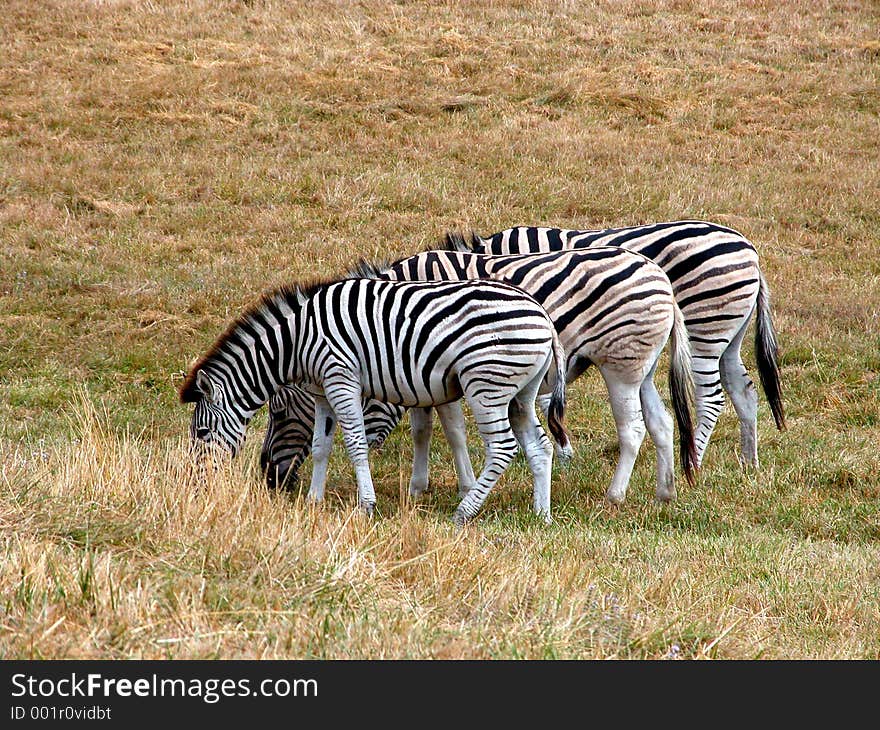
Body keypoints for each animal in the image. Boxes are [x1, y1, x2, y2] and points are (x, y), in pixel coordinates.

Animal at [182, 274, 576, 524]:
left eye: (201, 434)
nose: (196, 485)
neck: (296, 342)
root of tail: (542, 315)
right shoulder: (323, 392)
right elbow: (321, 446)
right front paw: (313, 501)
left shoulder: (341, 379)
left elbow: (355, 444)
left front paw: (366, 507)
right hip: (521, 394)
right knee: (539, 446)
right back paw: (542, 515)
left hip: (487, 385)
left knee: (503, 448)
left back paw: (464, 512)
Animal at [262, 247, 696, 504]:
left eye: (278, 414)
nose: (269, 478)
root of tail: (660, 277)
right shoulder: (422, 371)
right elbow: (424, 428)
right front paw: (421, 487)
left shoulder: (433, 365)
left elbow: (448, 429)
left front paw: (457, 486)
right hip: (644, 367)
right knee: (661, 422)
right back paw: (665, 493)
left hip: (620, 365)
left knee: (632, 430)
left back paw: (614, 496)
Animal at [460, 219, 784, 466]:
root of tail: (750, 251)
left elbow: (546, 387)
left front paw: (560, 448)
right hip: (731, 331)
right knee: (743, 389)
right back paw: (749, 462)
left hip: (705, 327)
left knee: (711, 399)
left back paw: (696, 460)